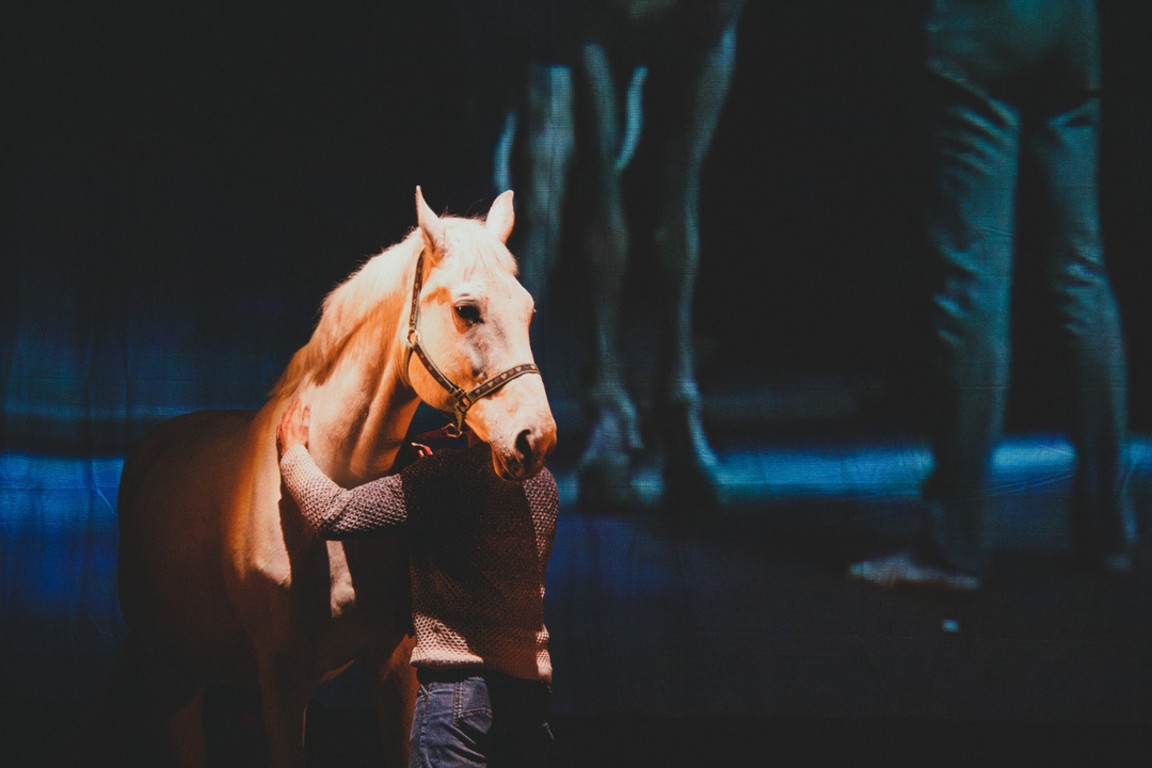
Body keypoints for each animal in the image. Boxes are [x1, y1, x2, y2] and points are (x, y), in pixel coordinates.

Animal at [114, 187, 555, 768]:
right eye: (467, 310)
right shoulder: (282, 681)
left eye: (529, 310)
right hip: (171, 674)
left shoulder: (393, 664)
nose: (536, 438)